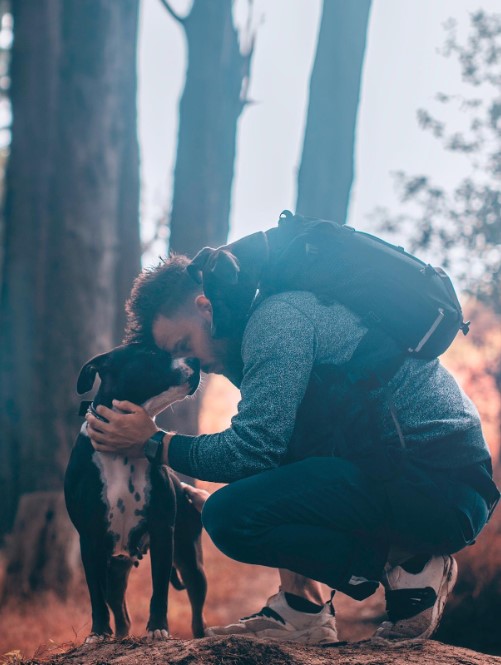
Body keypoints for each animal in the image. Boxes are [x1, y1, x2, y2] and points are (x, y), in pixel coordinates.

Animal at [65, 342, 207, 640]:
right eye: (151, 353)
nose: (196, 360)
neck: (120, 451)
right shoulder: (90, 538)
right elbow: (95, 595)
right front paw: (98, 632)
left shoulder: (163, 531)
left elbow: (159, 589)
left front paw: (157, 628)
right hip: (114, 569)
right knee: (120, 613)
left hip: (190, 561)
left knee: (197, 613)